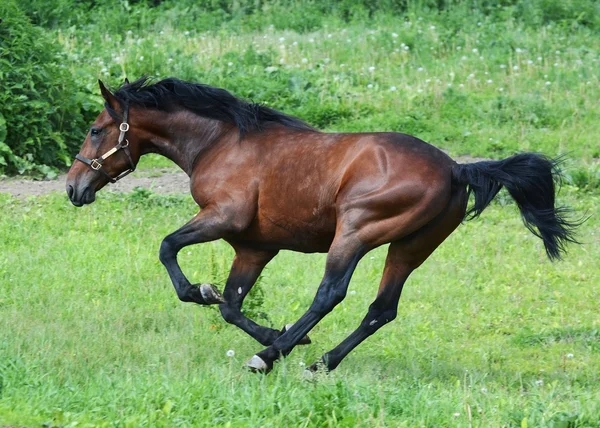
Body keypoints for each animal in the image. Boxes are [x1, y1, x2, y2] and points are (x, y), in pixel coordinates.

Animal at [64, 77, 576, 374]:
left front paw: (210, 298)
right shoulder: (253, 246)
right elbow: (231, 305)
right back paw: (319, 361)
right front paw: (272, 332)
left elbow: (169, 249)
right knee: (381, 308)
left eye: (95, 129)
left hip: (355, 233)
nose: (73, 187)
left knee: (331, 294)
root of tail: (457, 169)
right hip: (411, 247)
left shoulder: (223, 217)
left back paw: (269, 358)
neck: (220, 142)